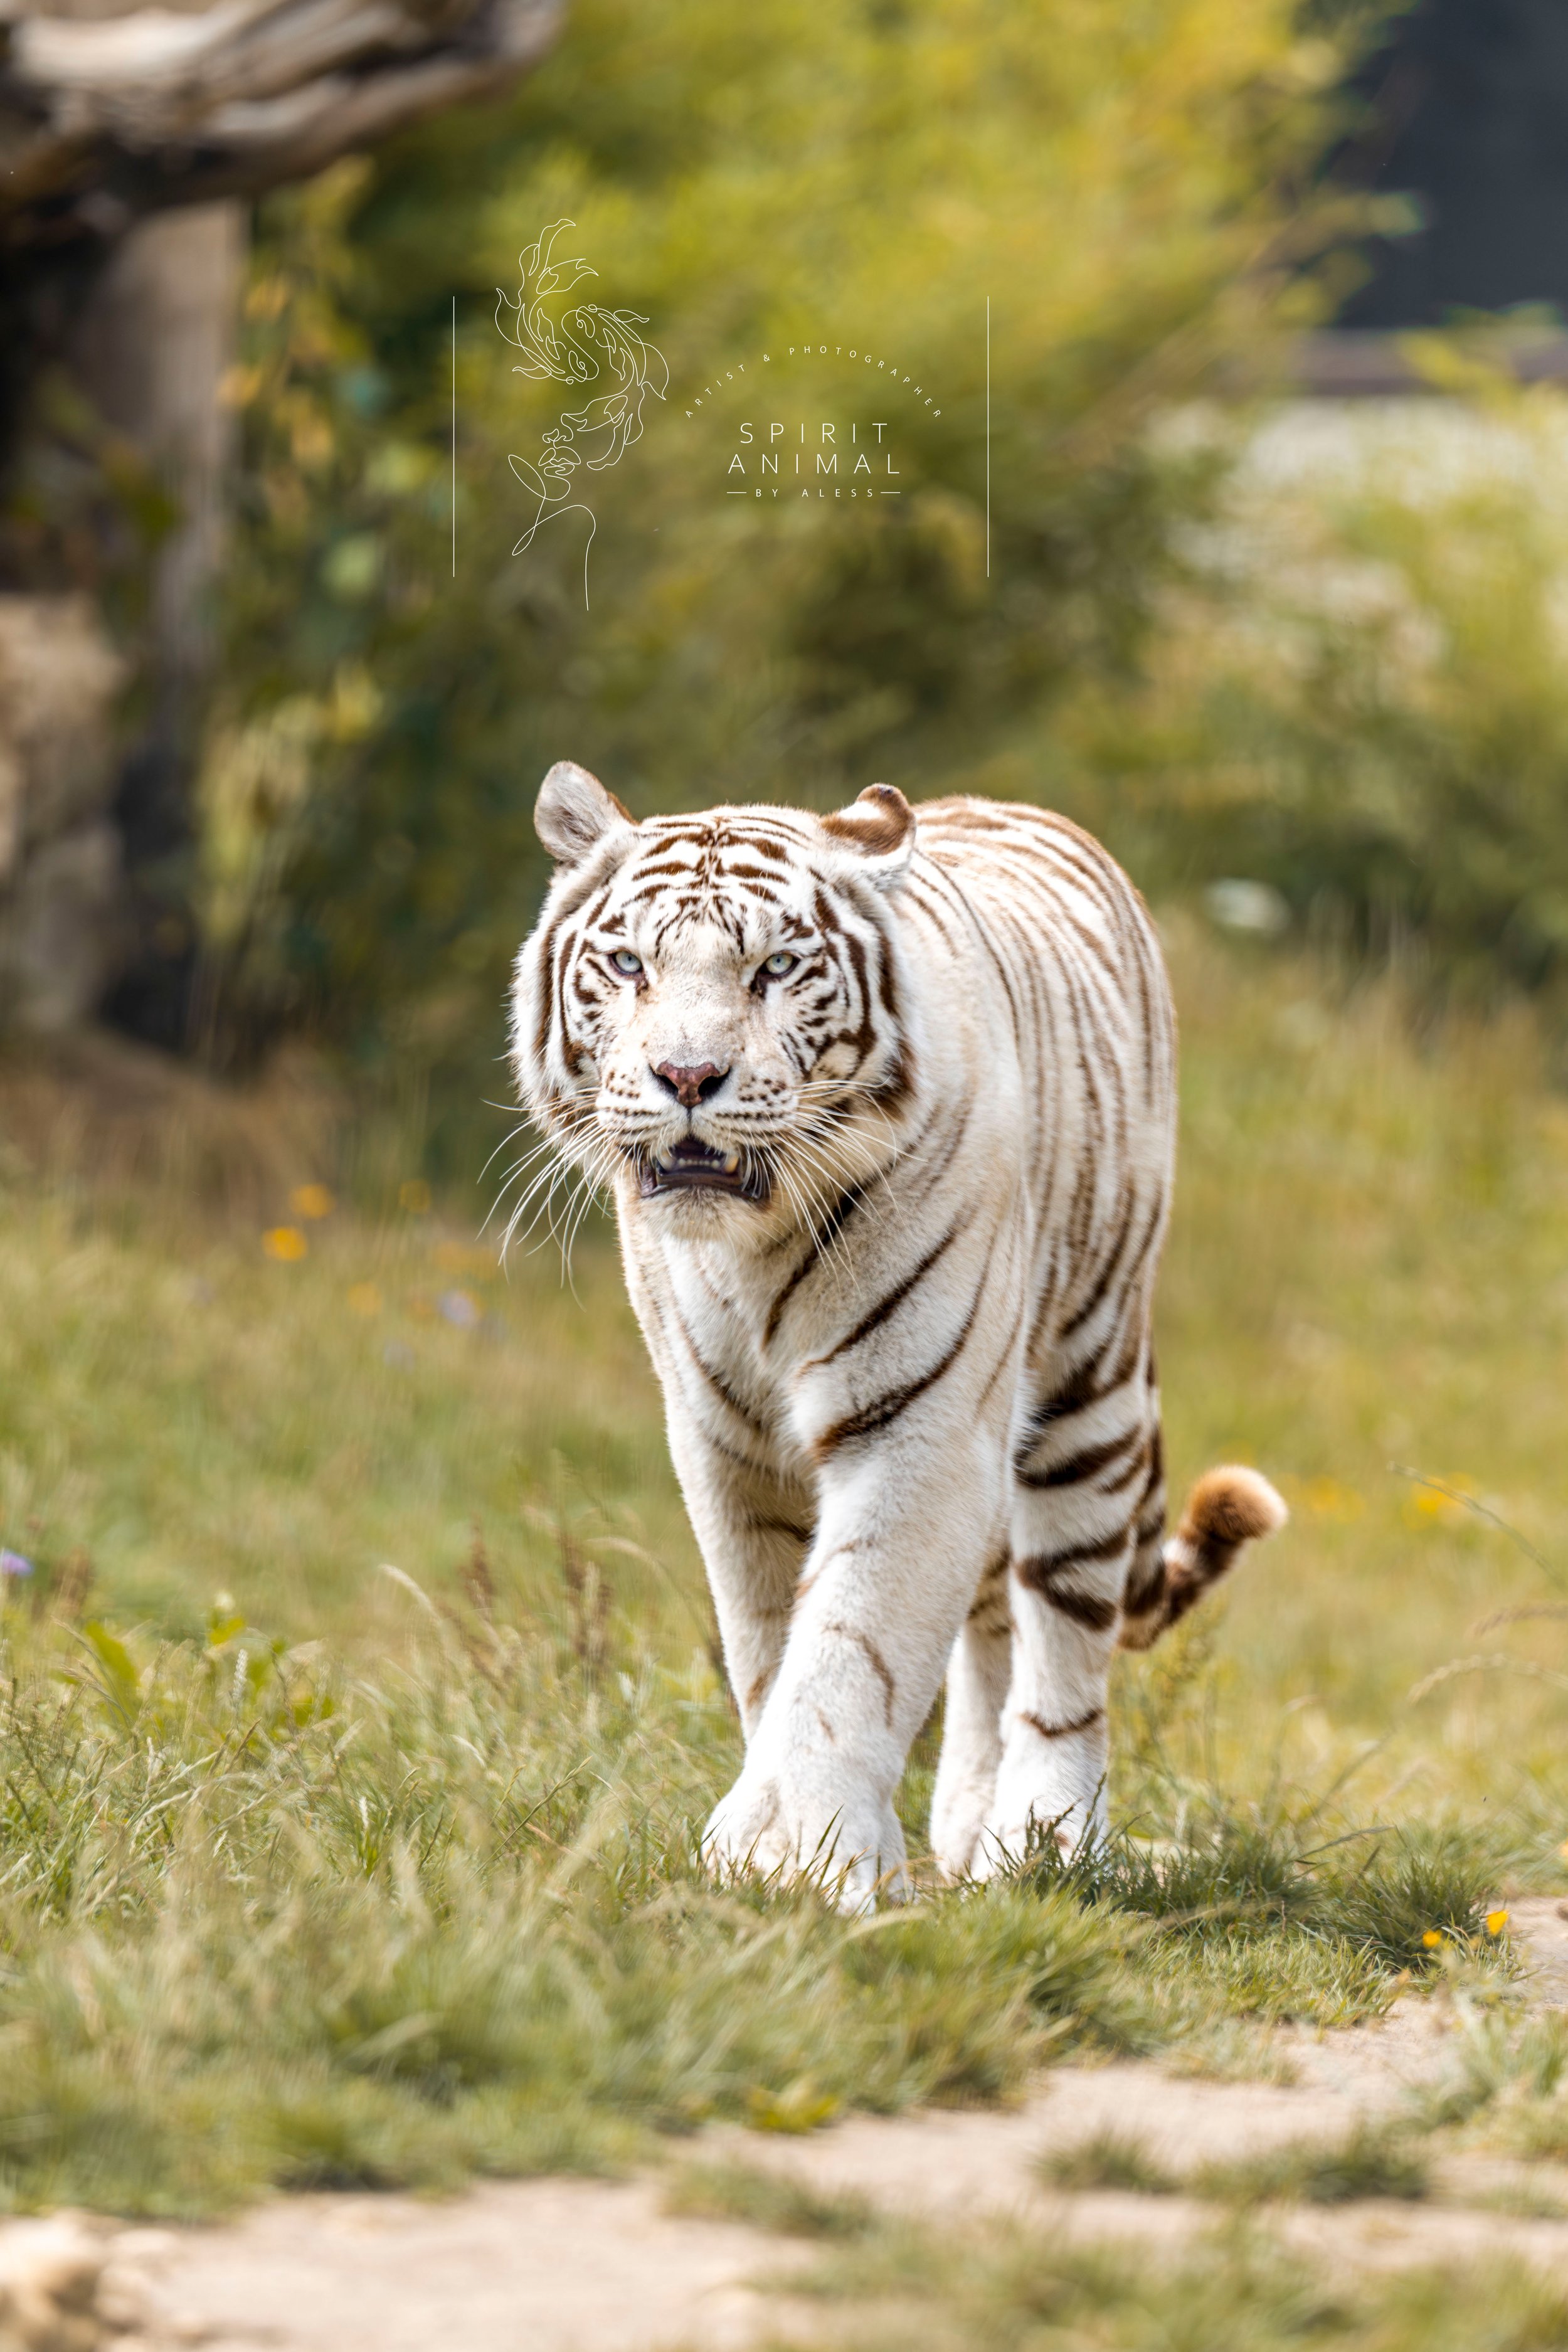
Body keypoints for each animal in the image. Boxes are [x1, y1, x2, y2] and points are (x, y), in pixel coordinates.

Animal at [512, 760, 1286, 1908]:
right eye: (627, 964)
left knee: (1064, 1638)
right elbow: (772, 1646)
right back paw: (972, 1832)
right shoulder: (724, 1442)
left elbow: (853, 1644)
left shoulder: (919, 1425)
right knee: (994, 1623)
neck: (751, 1250)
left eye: (776, 967)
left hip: (1086, 1388)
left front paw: (802, 1861)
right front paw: (783, 1848)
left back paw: (1048, 1836)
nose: (687, 1079)